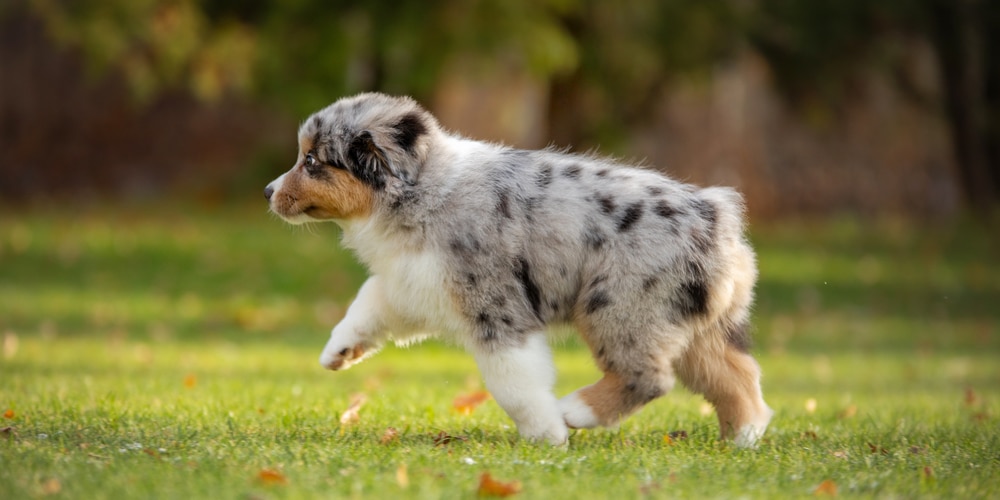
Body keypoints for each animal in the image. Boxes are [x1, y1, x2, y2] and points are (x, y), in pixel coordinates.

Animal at [266, 93, 772, 446]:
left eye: (311, 161)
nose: (268, 191)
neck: (420, 189)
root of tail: (717, 215)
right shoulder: (415, 282)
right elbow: (369, 302)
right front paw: (338, 351)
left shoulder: (496, 308)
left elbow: (513, 383)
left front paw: (548, 435)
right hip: (696, 325)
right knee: (738, 378)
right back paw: (741, 440)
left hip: (621, 306)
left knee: (650, 377)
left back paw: (575, 412)